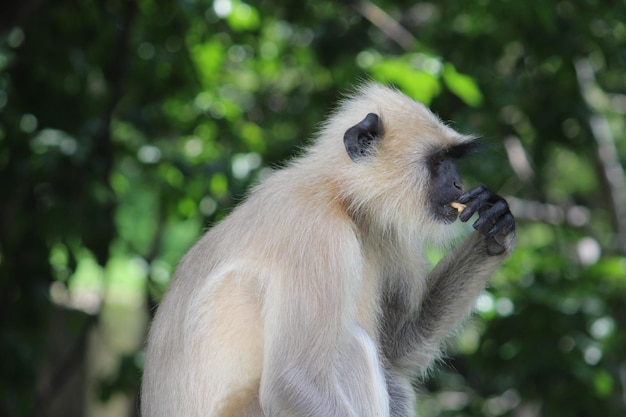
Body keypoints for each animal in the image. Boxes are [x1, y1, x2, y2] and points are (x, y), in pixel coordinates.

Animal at [140, 83, 512, 414]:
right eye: (437, 163)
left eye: (451, 161)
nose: (458, 184)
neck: (339, 197)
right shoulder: (314, 231)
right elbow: (293, 381)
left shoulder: (380, 226)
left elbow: (399, 344)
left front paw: (496, 226)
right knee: (350, 347)